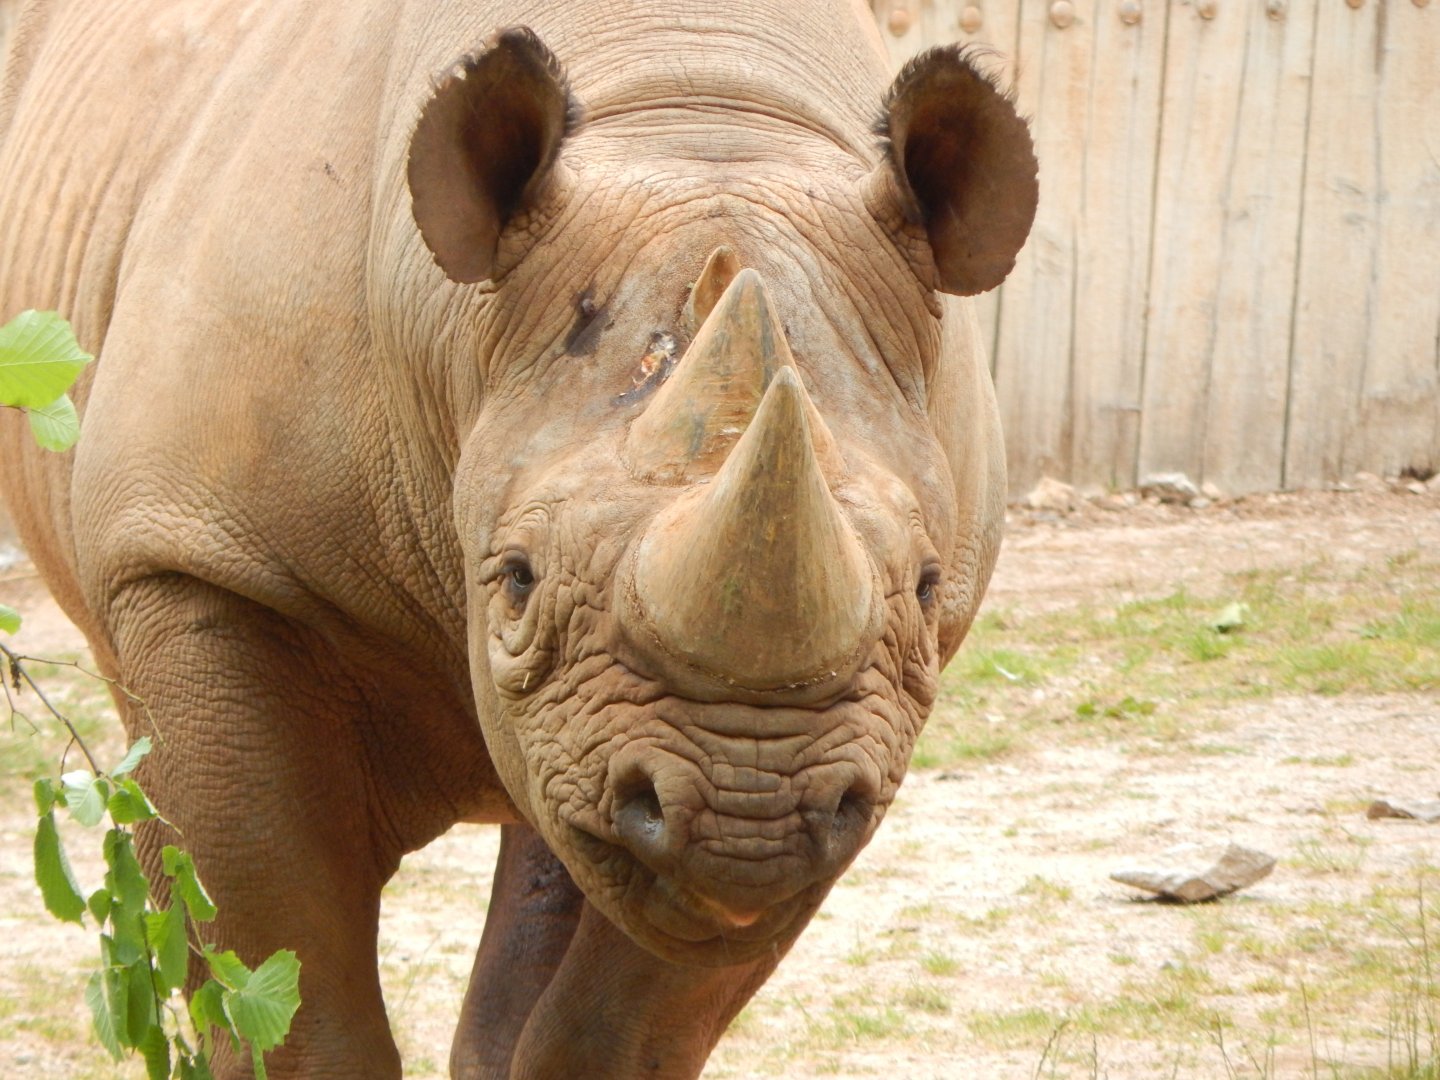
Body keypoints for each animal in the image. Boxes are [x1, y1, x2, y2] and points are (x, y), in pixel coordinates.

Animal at [0, 0, 1036, 1076]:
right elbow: (282, 976)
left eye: (925, 586)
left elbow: (625, 1015)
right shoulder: (199, 558)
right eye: (517, 579)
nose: (747, 806)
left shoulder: (851, 728)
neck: (688, 114)